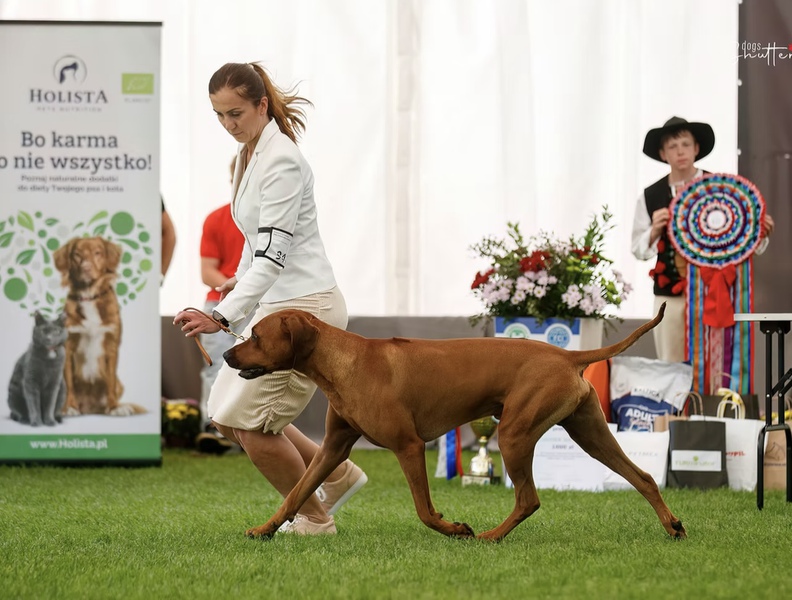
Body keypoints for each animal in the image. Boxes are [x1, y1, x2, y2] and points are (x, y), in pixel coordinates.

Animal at [53, 236, 144, 416]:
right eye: (76, 255)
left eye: (97, 253)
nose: (86, 268)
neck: (89, 296)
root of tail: (89, 408)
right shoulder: (68, 346)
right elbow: (69, 384)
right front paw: (70, 407)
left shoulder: (111, 346)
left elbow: (110, 381)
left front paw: (114, 407)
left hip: (119, 385)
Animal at [223, 304, 685, 541]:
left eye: (256, 336)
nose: (226, 355)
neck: (344, 361)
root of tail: (568, 355)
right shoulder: (333, 446)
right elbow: (294, 494)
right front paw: (263, 530)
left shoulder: (408, 446)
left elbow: (424, 510)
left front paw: (455, 528)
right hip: (590, 433)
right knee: (644, 476)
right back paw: (673, 525)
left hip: (514, 433)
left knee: (528, 499)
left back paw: (489, 537)